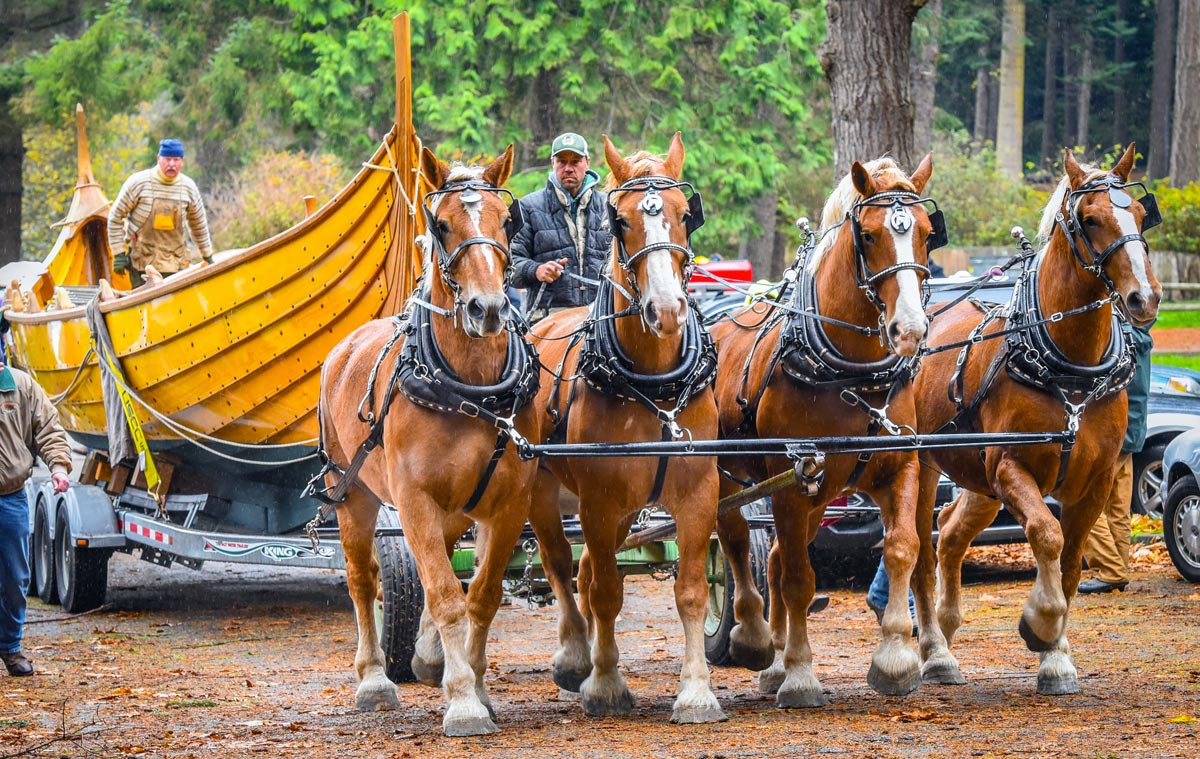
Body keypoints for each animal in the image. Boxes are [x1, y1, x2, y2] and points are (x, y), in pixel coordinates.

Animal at [319, 145, 544, 739]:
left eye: (507, 222)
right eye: (441, 225)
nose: (488, 308)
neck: (468, 388)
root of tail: (344, 346)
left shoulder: (509, 503)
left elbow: (481, 596)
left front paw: (476, 686)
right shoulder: (414, 500)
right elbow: (445, 595)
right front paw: (463, 701)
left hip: (456, 506)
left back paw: (427, 655)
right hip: (352, 492)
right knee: (364, 578)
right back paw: (375, 679)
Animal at [532, 132, 720, 725]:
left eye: (686, 213)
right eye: (620, 220)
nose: (667, 309)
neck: (652, 382)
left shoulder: (698, 492)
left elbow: (690, 590)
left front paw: (696, 690)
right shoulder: (598, 497)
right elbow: (607, 592)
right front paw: (606, 684)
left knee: (587, 571)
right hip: (541, 491)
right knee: (563, 565)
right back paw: (576, 656)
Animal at [705, 153, 940, 706]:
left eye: (926, 232)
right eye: (869, 235)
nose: (910, 330)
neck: (849, 375)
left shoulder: (899, 466)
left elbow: (902, 548)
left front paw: (895, 660)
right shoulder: (793, 482)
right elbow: (798, 579)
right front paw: (801, 675)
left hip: (817, 494)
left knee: (770, 556)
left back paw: (771, 662)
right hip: (733, 477)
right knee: (737, 540)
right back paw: (754, 639)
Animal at [912, 142, 1156, 691]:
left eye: (1139, 213)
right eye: (1090, 219)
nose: (1145, 297)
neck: (1069, 367)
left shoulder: (1094, 482)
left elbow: (1069, 563)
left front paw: (1057, 656)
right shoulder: (1011, 468)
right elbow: (1047, 535)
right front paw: (1040, 625)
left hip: (976, 478)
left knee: (950, 532)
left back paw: (947, 633)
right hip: (919, 467)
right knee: (916, 547)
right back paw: (933, 649)